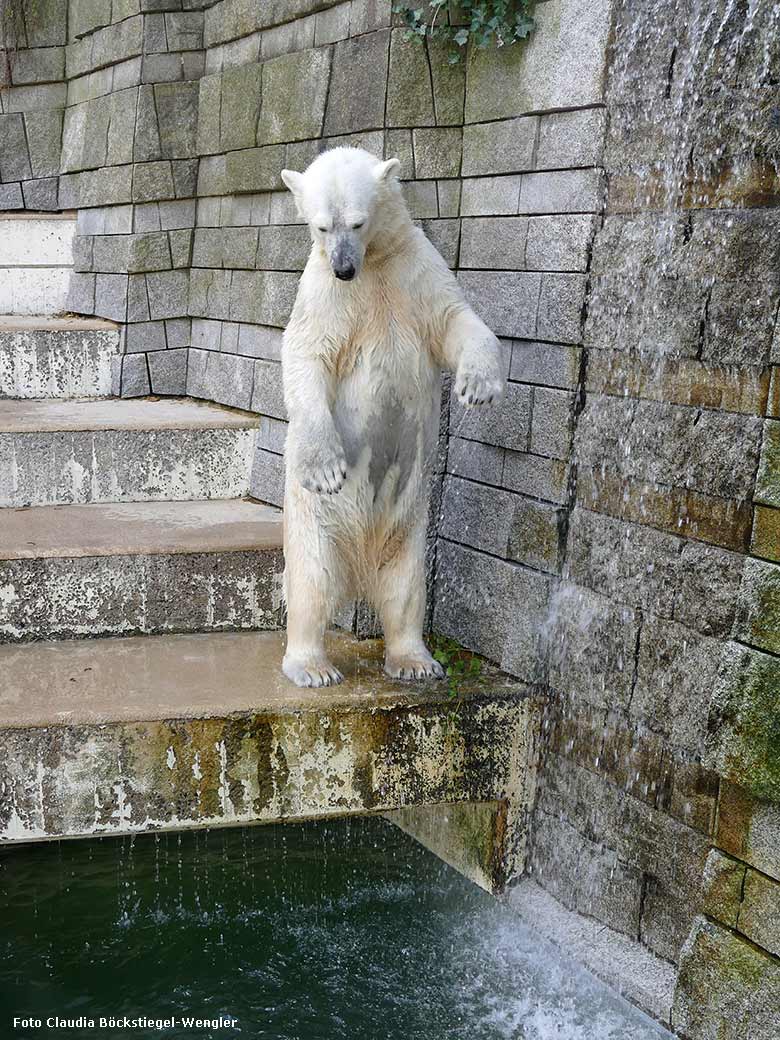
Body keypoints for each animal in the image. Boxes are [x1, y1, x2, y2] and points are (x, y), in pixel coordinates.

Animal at [278, 144, 503, 682]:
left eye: (357, 223)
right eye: (320, 226)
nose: (343, 268)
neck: (372, 265)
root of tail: (359, 572)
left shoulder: (415, 271)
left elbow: (455, 320)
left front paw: (477, 386)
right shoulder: (324, 296)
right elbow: (305, 356)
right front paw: (325, 468)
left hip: (409, 532)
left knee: (406, 591)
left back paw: (415, 660)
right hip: (315, 527)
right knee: (311, 582)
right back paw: (312, 666)